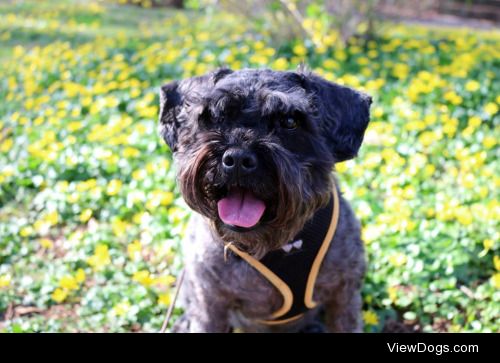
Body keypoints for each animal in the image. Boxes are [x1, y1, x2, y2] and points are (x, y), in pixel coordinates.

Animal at [158, 66, 374, 332]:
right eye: (215, 116)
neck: (278, 243)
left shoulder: (343, 294)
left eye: (290, 121)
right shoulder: (209, 301)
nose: (238, 158)